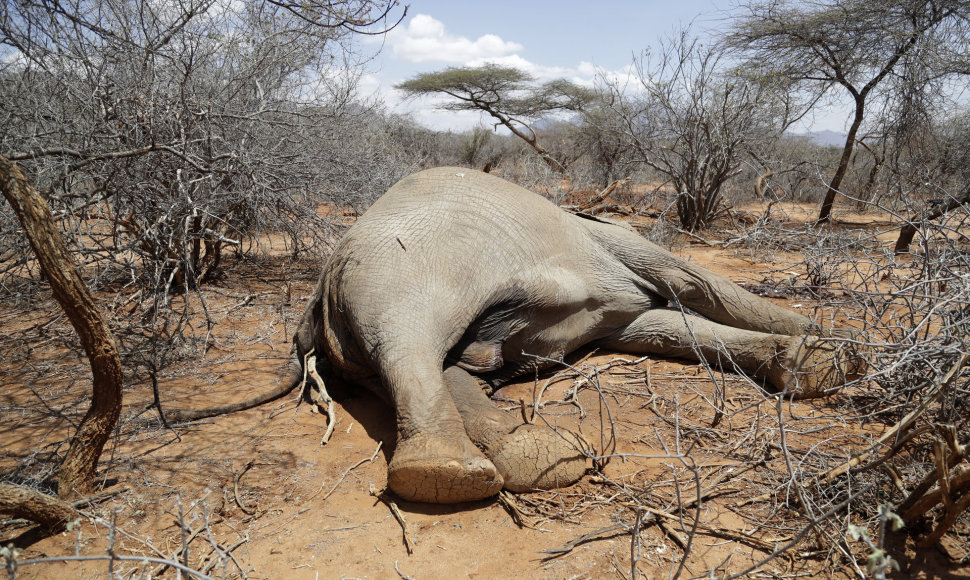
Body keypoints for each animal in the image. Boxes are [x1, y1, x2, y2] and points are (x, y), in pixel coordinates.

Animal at [290, 167, 864, 502]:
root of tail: (321, 287)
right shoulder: (616, 244)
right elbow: (694, 284)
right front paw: (837, 350)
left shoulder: (616, 301)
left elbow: (663, 328)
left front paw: (819, 360)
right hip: (402, 267)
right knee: (409, 341)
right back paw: (453, 473)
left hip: (362, 327)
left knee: (430, 363)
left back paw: (529, 455)